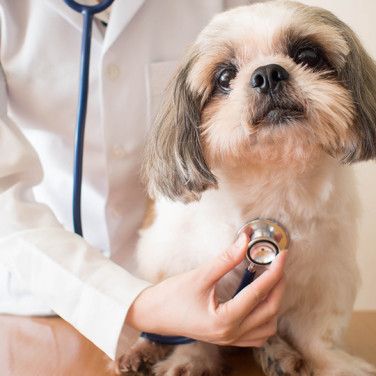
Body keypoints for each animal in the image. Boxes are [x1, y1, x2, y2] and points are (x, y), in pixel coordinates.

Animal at [116, 0, 374, 376]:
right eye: (225, 77)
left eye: (308, 55)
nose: (268, 73)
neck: (274, 178)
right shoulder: (184, 269)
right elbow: (192, 331)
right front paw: (192, 361)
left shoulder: (327, 277)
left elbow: (316, 335)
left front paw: (335, 364)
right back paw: (142, 351)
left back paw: (278, 354)